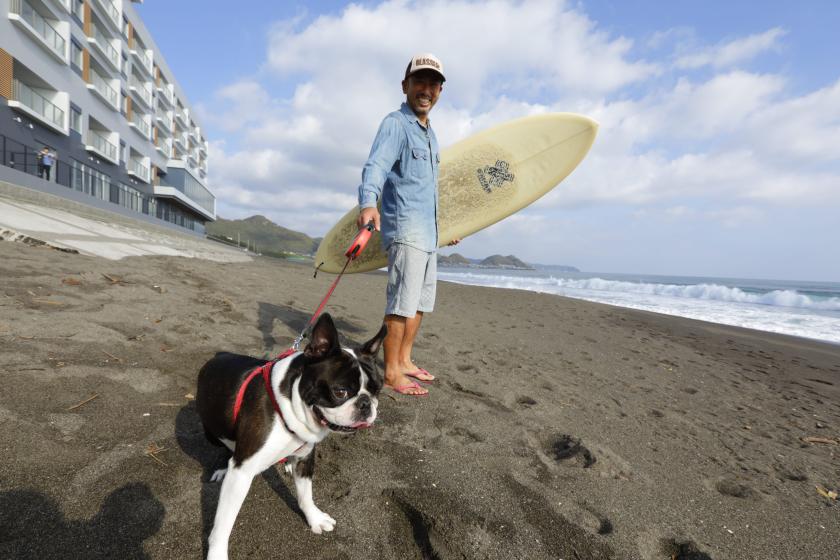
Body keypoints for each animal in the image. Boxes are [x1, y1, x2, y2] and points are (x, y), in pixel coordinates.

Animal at [195, 312, 386, 556]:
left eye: (377, 390)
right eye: (340, 392)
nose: (366, 404)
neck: (292, 404)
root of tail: (219, 355)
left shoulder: (306, 457)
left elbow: (306, 495)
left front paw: (314, 518)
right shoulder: (241, 472)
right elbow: (224, 522)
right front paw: (217, 553)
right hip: (211, 429)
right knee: (224, 445)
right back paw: (222, 466)